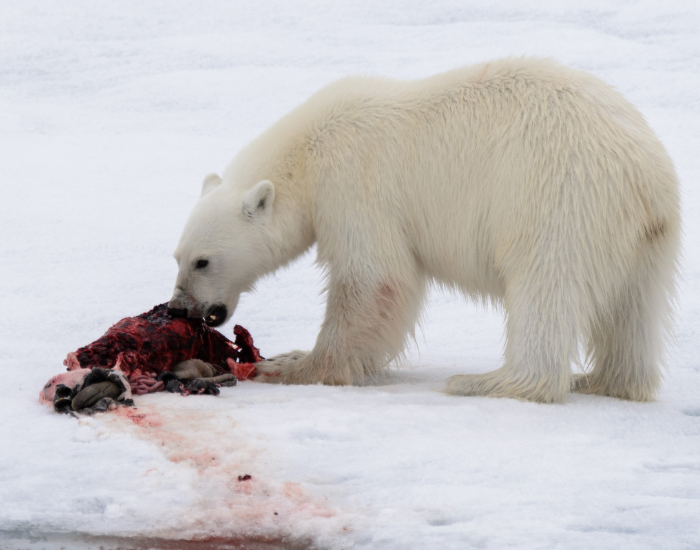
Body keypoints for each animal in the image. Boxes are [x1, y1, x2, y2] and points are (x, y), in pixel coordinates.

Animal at [169, 57, 680, 403]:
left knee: (545, 285)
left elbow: (375, 277)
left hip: (559, 197)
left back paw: (487, 381)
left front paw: (293, 364)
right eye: (176, 257)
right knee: (633, 308)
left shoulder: (354, 184)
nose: (178, 308)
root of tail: (645, 173)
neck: (306, 154)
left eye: (203, 261)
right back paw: (603, 379)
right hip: (647, 237)